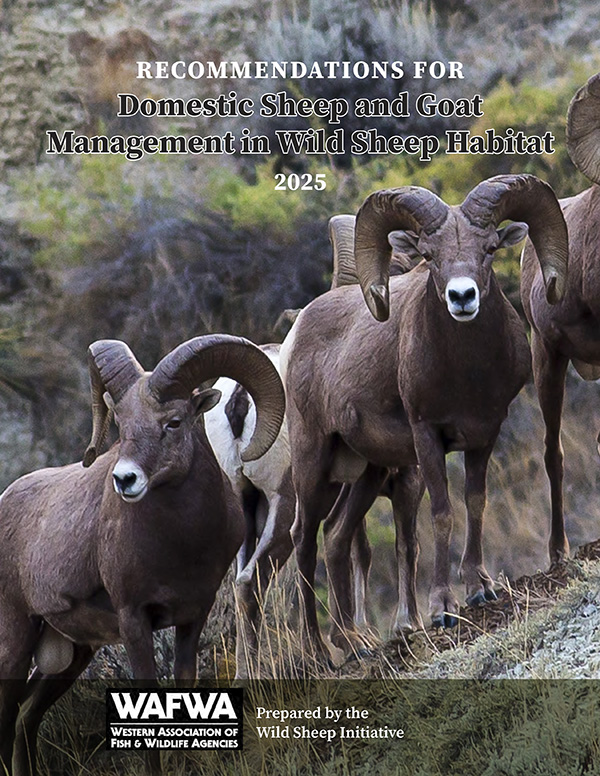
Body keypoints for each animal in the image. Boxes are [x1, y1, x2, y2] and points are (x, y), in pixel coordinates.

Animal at [0, 334, 285, 776]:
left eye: (174, 422)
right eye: (121, 422)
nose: (125, 479)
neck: (181, 546)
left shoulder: (192, 619)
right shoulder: (134, 620)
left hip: (72, 655)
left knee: (25, 718)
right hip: (14, 639)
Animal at [281, 174, 568, 660]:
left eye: (489, 248)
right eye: (430, 256)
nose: (462, 297)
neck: (466, 375)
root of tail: (297, 329)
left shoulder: (485, 434)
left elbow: (475, 501)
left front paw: (479, 588)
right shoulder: (426, 436)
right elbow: (442, 513)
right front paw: (442, 610)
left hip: (369, 470)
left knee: (336, 535)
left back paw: (354, 642)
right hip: (313, 460)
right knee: (303, 538)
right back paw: (320, 652)